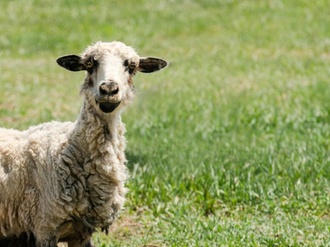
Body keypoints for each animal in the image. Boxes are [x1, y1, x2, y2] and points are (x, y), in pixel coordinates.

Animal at [0, 41, 166, 247]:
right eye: (90, 64)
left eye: (131, 66)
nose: (109, 89)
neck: (69, 148)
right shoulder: (45, 226)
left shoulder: (82, 233)